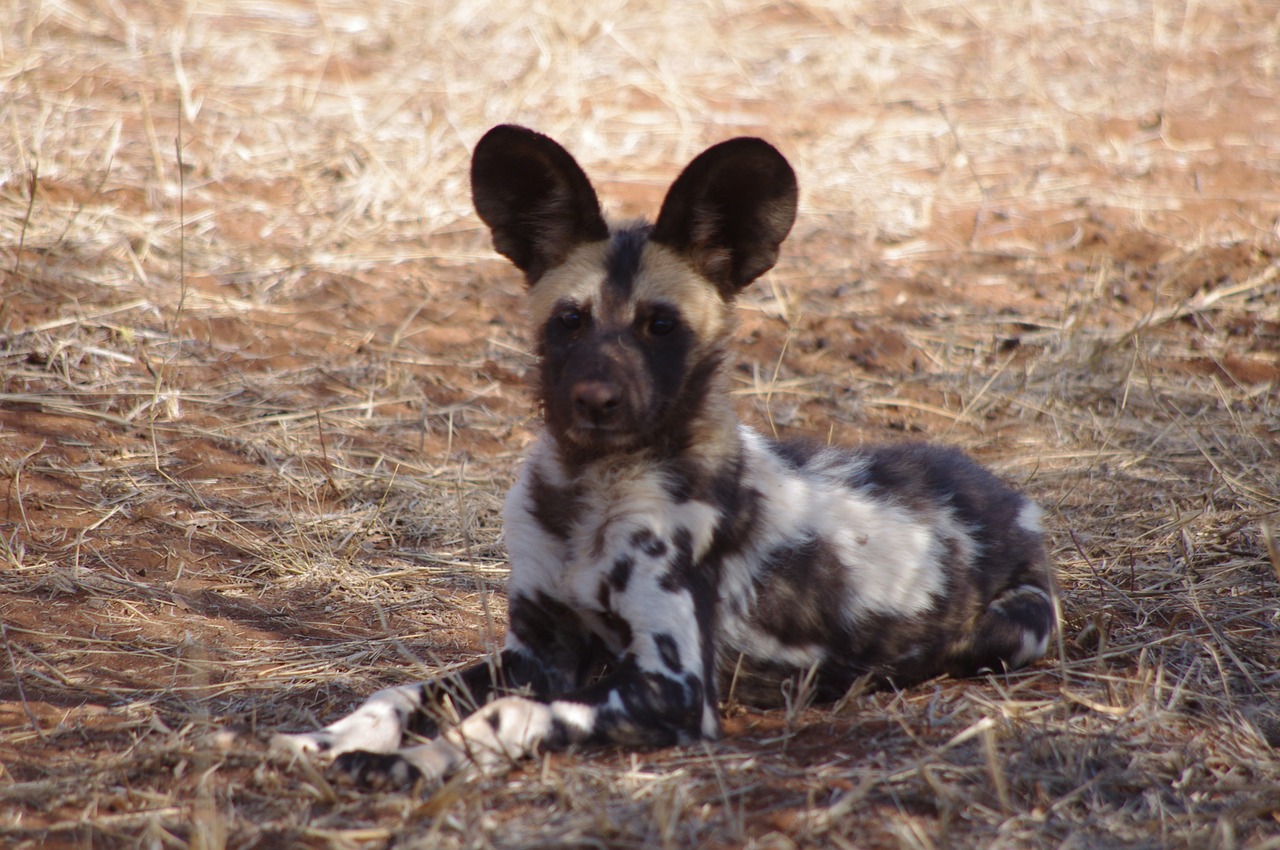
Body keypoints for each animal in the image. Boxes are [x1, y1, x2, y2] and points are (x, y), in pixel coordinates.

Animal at [275, 122, 1054, 788]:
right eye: (569, 320)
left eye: (660, 325)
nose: (595, 400)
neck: (587, 494)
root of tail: (1013, 500)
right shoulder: (538, 654)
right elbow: (401, 690)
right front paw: (331, 739)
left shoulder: (672, 689)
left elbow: (505, 713)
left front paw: (416, 762)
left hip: (1014, 630)